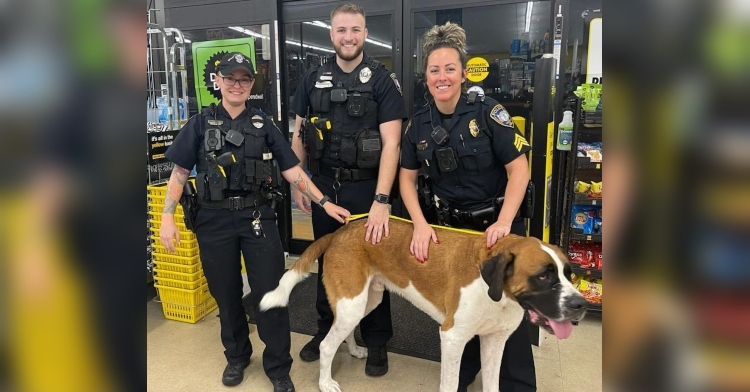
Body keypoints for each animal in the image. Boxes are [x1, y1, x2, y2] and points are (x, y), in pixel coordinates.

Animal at [262, 219, 592, 390]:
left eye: (568, 274)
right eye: (543, 276)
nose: (581, 305)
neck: (497, 293)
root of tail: (340, 231)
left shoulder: (495, 340)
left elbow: (493, 382)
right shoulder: (452, 338)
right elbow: (450, 383)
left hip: (364, 301)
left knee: (341, 331)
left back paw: (354, 350)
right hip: (352, 303)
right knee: (327, 344)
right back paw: (326, 383)